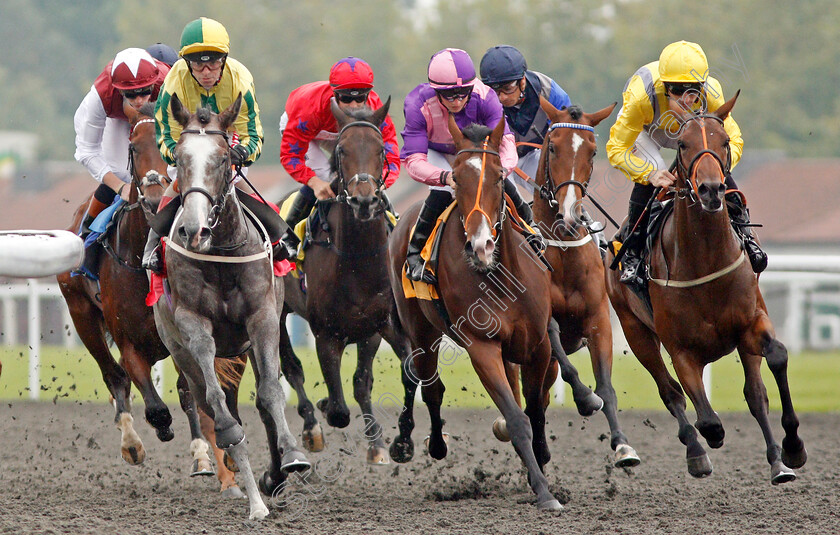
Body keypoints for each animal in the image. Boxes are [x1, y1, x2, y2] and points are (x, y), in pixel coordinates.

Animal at [151, 94, 308, 520]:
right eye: (180, 157)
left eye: (223, 158)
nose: (194, 230)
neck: (220, 253)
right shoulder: (192, 324)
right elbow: (218, 406)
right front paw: (233, 442)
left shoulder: (263, 319)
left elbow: (270, 393)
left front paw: (293, 456)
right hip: (177, 347)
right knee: (206, 400)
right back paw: (250, 494)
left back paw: (270, 482)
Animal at [278, 99, 414, 464]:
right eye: (342, 149)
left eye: (381, 149)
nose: (364, 200)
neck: (357, 261)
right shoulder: (326, 334)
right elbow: (338, 410)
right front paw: (325, 405)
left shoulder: (382, 325)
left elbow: (398, 375)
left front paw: (398, 443)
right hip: (276, 311)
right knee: (292, 366)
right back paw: (311, 426)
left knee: (360, 382)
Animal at [388, 115, 560, 508]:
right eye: (455, 177)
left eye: (498, 176)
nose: (481, 246)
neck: (499, 272)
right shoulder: (482, 347)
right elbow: (516, 418)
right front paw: (543, 491)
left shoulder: (536, 342)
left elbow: (536, 410)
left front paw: (541, 461)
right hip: (420, 330)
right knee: (429, 385)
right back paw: (426, 444)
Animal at [532, 98, 644, 466]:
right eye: (553, 147)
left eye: (593, 151)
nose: (568, 216)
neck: (565, 255)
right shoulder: (543, 324)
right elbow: (564, 358)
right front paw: (584, 399)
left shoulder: (599, 321)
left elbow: (606, 386)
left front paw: (623, 445)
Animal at [604, 93, 808, 486]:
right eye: (683, 144)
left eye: (724, 141)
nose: (712, 189)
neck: (706, 260)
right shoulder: (681, 350)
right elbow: (705, 415)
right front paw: (706, 442)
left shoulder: (752, 323)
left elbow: (775, 360)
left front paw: (792, 447)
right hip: (635, 330)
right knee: (670, 393)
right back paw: (696, 451)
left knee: (755, 394)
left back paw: (778, 462)